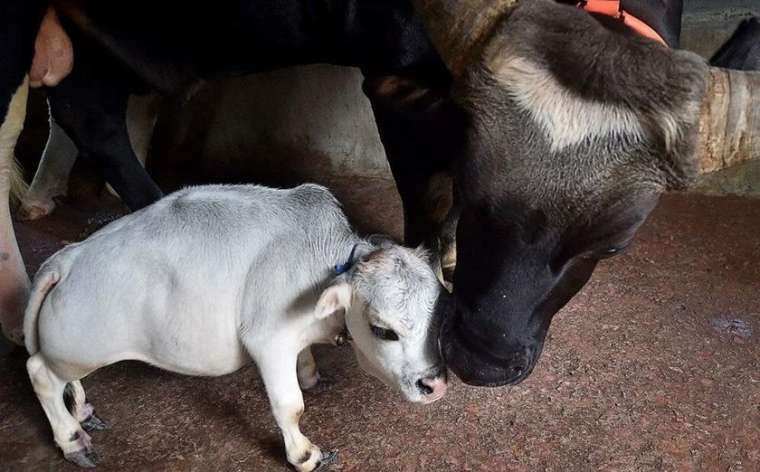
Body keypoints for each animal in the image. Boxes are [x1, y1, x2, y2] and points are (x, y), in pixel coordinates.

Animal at [23, 183, 446, 468]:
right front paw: (304, 455)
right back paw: (72, 440)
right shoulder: (268, 339)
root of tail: (66, 258)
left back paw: (80, 409)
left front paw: (309, 373)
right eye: (383, 330)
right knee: (40, 372)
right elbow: (290, 405)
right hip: (82, 348)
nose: (435, 384)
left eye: (438, 318)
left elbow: (305, 363)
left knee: (60, 377)